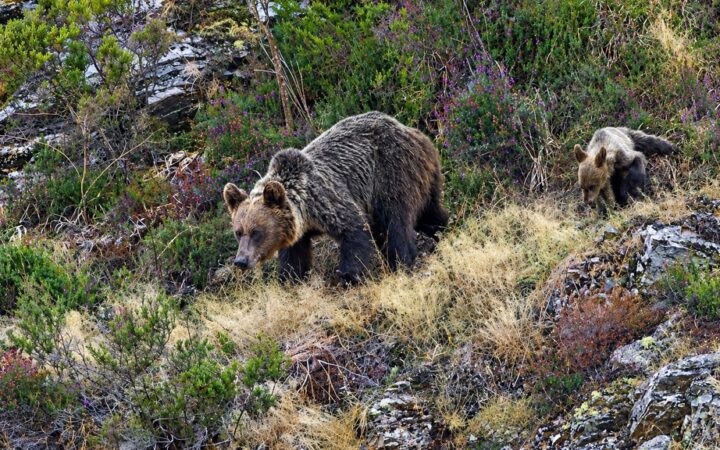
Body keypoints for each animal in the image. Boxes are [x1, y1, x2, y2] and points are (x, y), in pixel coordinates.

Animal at [223, 111, 449, 283]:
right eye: (238, 232)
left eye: (256, 232)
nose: (241, 261)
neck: (305, 211)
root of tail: (413, 132)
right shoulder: (296, 229)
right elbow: (295, 255)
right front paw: (291, 278)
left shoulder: (326, 199)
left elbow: (354, 230)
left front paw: (348, 276)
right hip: (422, 178)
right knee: (429, 212)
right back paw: (444, 228)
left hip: (391, 174)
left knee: (396, 221)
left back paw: (402, 261)